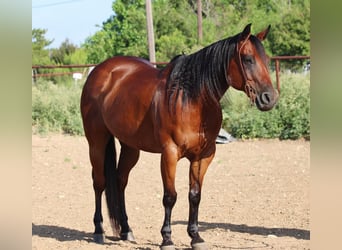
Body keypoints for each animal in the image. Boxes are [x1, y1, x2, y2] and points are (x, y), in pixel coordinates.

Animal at [81, 23, 280, 250]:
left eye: (266, 59)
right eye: (248, 59)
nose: (270, 98)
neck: (191, 98)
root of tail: (100, 71)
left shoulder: (203, 156)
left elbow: (194, 195)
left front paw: (195, 237)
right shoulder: (169, 154)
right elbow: (170, 196)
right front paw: (167, 238)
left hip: (130, 146)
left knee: (120, 180)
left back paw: (126, 230)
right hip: (97, 142)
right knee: (99, 182)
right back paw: (99, 230)